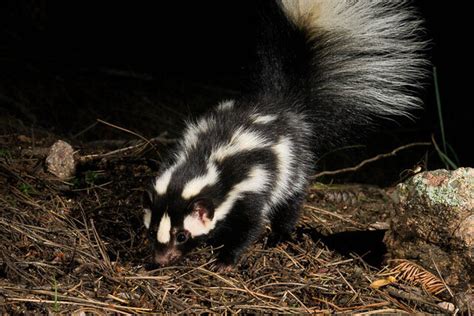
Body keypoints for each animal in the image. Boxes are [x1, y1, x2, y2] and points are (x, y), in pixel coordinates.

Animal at [143, 0, 428, 270]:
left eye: (182, 235)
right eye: (152, 230)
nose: (160, 259)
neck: (205, 163)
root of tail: (284, 105)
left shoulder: (251, 186)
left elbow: (251, 224)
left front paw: (226, 259)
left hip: (294, 166)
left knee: (291, 201)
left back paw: (280, 235)